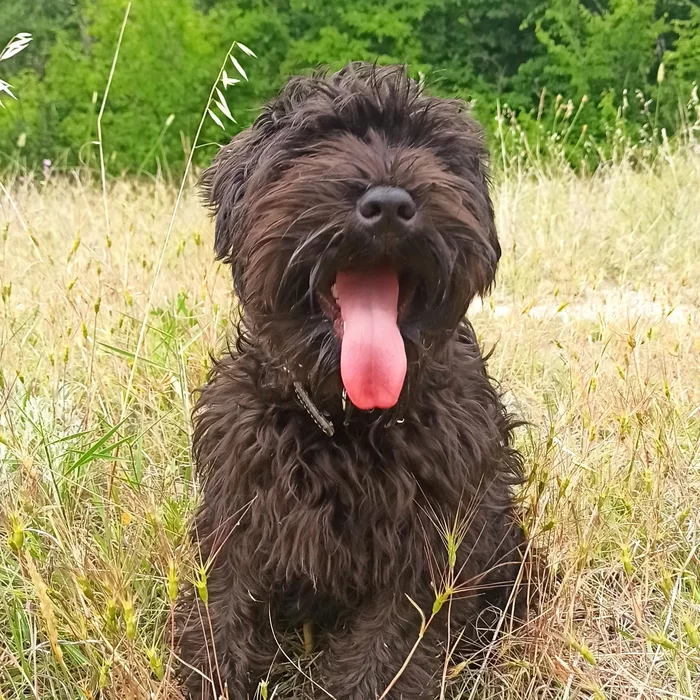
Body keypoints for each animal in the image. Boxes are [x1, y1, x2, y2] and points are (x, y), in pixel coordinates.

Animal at [176, 63, 532, 696]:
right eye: (318, 140)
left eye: (431, 148)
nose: (388, 204)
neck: (346, 420)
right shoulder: (239, 508)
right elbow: (222, 609)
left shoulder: (431, 538)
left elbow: (384, 652)